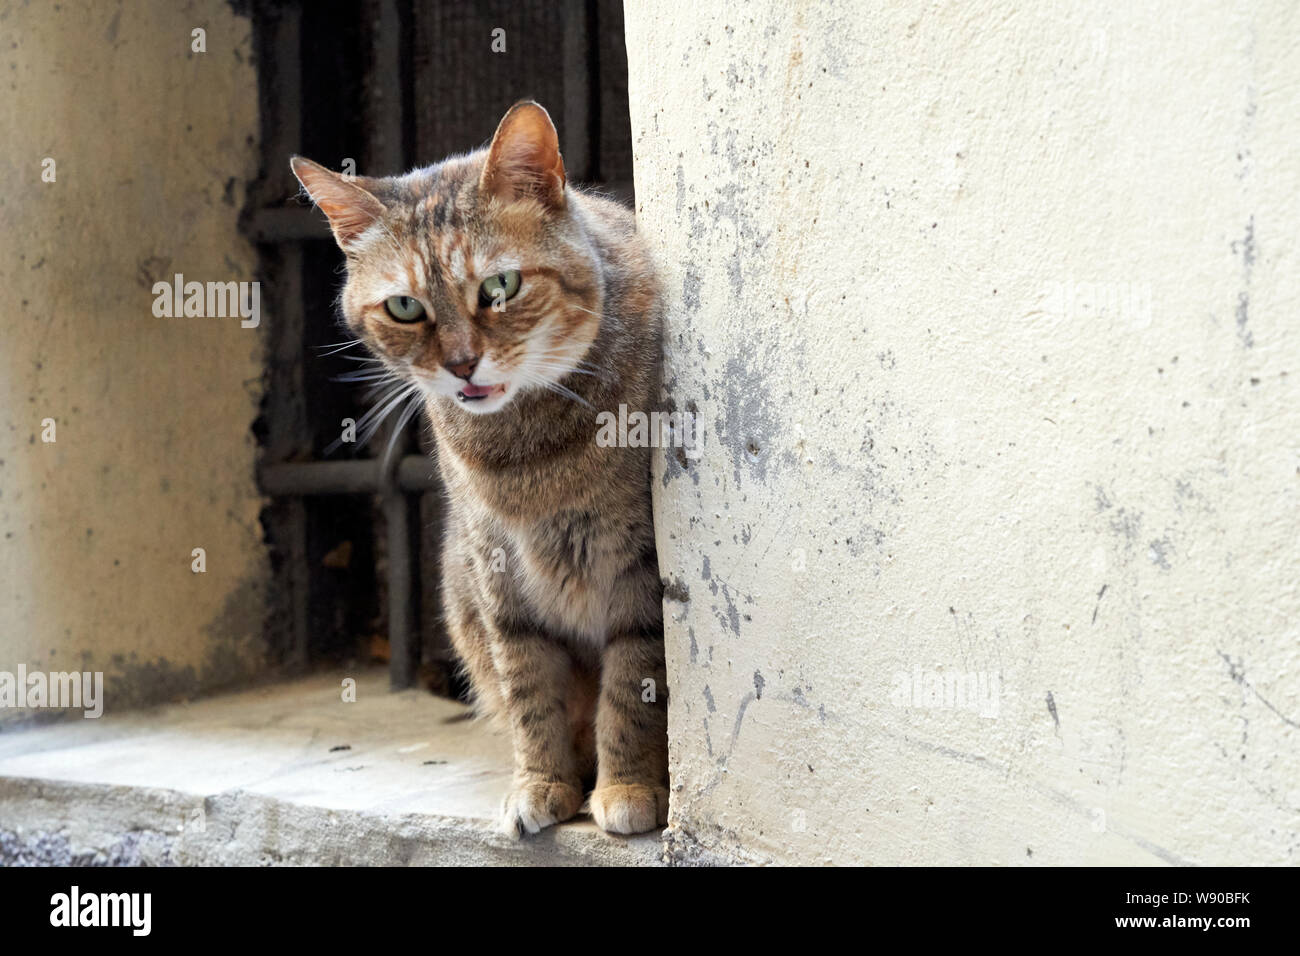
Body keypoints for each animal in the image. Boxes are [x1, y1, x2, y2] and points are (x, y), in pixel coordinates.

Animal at [293, 100, 670, 837]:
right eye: (405, 306)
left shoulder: (641, 574)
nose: (462, 364)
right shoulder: (499, 578)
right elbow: (531, 693)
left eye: (500, 287)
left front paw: (629, 787)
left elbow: (632, 690)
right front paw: (543, 783)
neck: (527, 452)